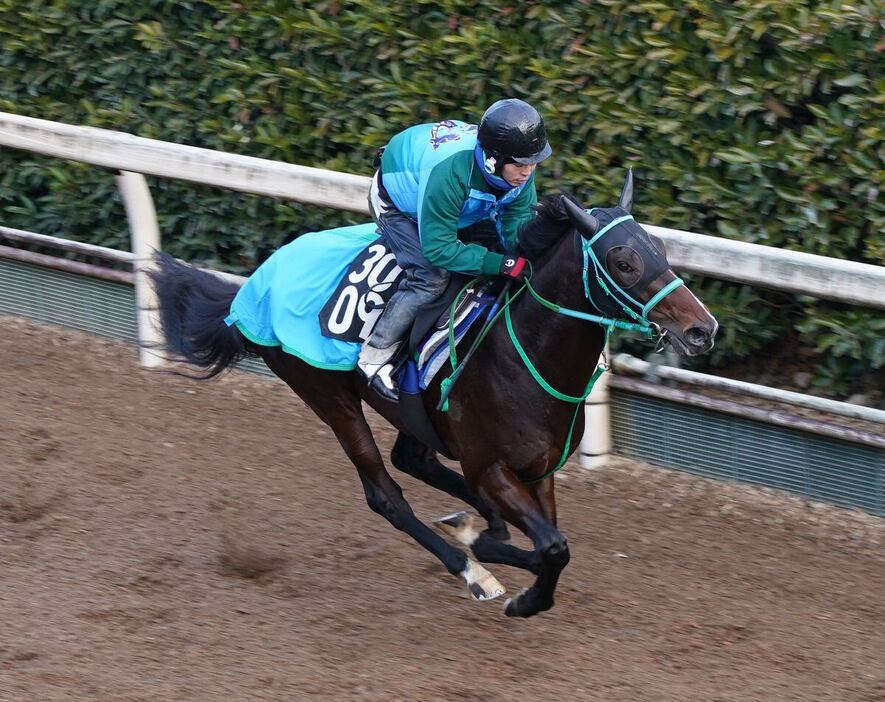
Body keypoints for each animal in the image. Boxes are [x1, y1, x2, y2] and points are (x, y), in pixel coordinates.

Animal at [148, 173, 716, 620]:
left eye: (661, 249)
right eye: (623, 260)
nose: (702, 329)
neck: (526, 353)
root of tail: (249, 291)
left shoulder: (539, 470)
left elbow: (552, 540)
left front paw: (499, 552)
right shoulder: (491, 467)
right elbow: (552, 547)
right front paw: (499, 569)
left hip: (415, 413)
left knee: (414, 459)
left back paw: (474, 525)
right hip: (328, 396)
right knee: (386, 496)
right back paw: (471, 569)